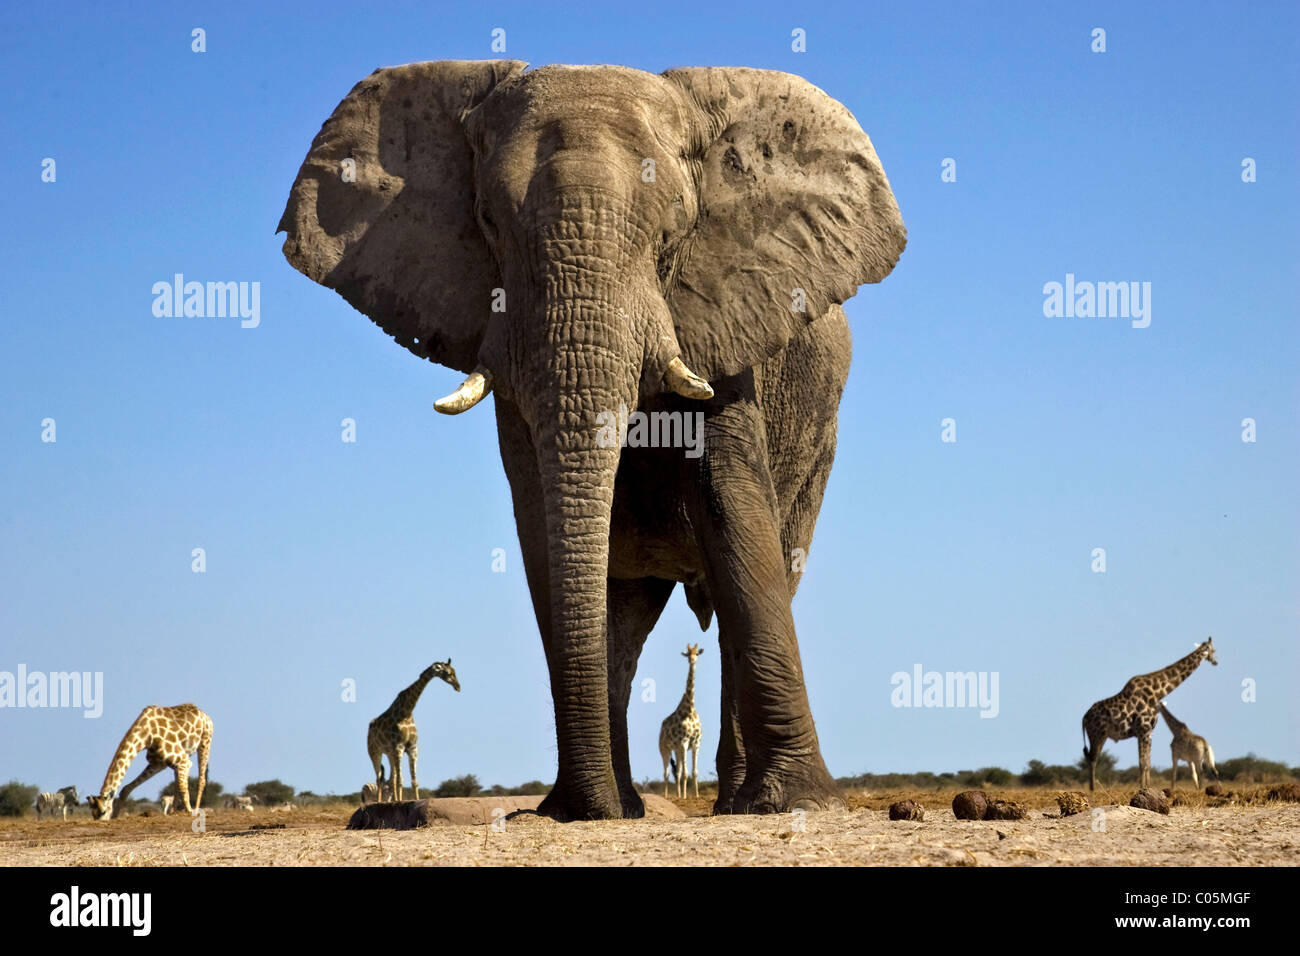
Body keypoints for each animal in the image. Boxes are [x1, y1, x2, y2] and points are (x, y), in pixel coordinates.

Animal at [366, 658, 462, 801]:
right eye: (448, 673)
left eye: (455, 672)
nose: (458, 687)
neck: (407, 712)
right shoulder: (399, 747)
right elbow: (401, 780)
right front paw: (400, 802)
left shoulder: (412, 748)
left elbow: (414, 781)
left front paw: (414, 800)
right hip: (374, 752)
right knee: (379, 779)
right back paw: (379, 802)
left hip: (389, 753)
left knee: (391, 779)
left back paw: (394, 799)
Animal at [660, 642, 702, 801]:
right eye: (688, 653)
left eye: (697, 653)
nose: (692, 661)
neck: (689, 710)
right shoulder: (684, 742)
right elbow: (685, 773)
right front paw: (684, 796)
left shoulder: (696, 743)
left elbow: (693, 772)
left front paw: (696, 795)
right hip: (664, 748)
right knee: (666, 773)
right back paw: (668, 795)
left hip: (676, 749)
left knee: (676, 772)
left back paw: (678, 794)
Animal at [1076, 639, 1216, 790]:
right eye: (1213, 650)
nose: (1216, 662)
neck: (1157, 693)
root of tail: (1084, 718)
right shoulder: (1143, 730)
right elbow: (1142, 762)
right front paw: (1142, 787)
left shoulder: (1148, 732)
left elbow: (1147, 762)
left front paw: (1147, 787)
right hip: (1097, 735)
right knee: (1092, 759)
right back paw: (1092, 790)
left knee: (1090, 757)